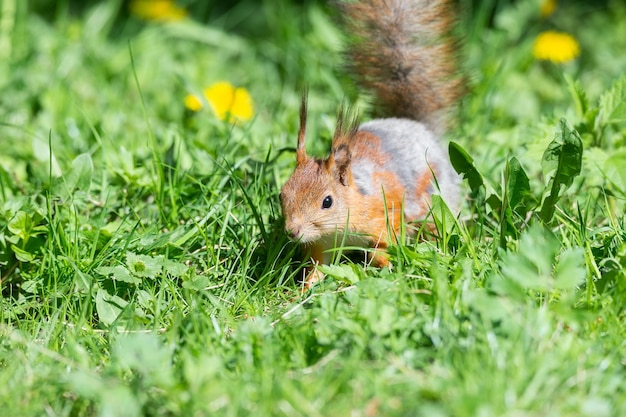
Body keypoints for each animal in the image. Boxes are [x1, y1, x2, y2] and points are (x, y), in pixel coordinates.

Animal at [280, 0, 460, 286]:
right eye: (281, 194)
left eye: (327, 201)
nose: (293, 231)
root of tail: (418, 127)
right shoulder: (323, 244)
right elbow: (319, 267)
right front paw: (304, 288)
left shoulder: (385, 218)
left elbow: (384, 249)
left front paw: (389, 267)